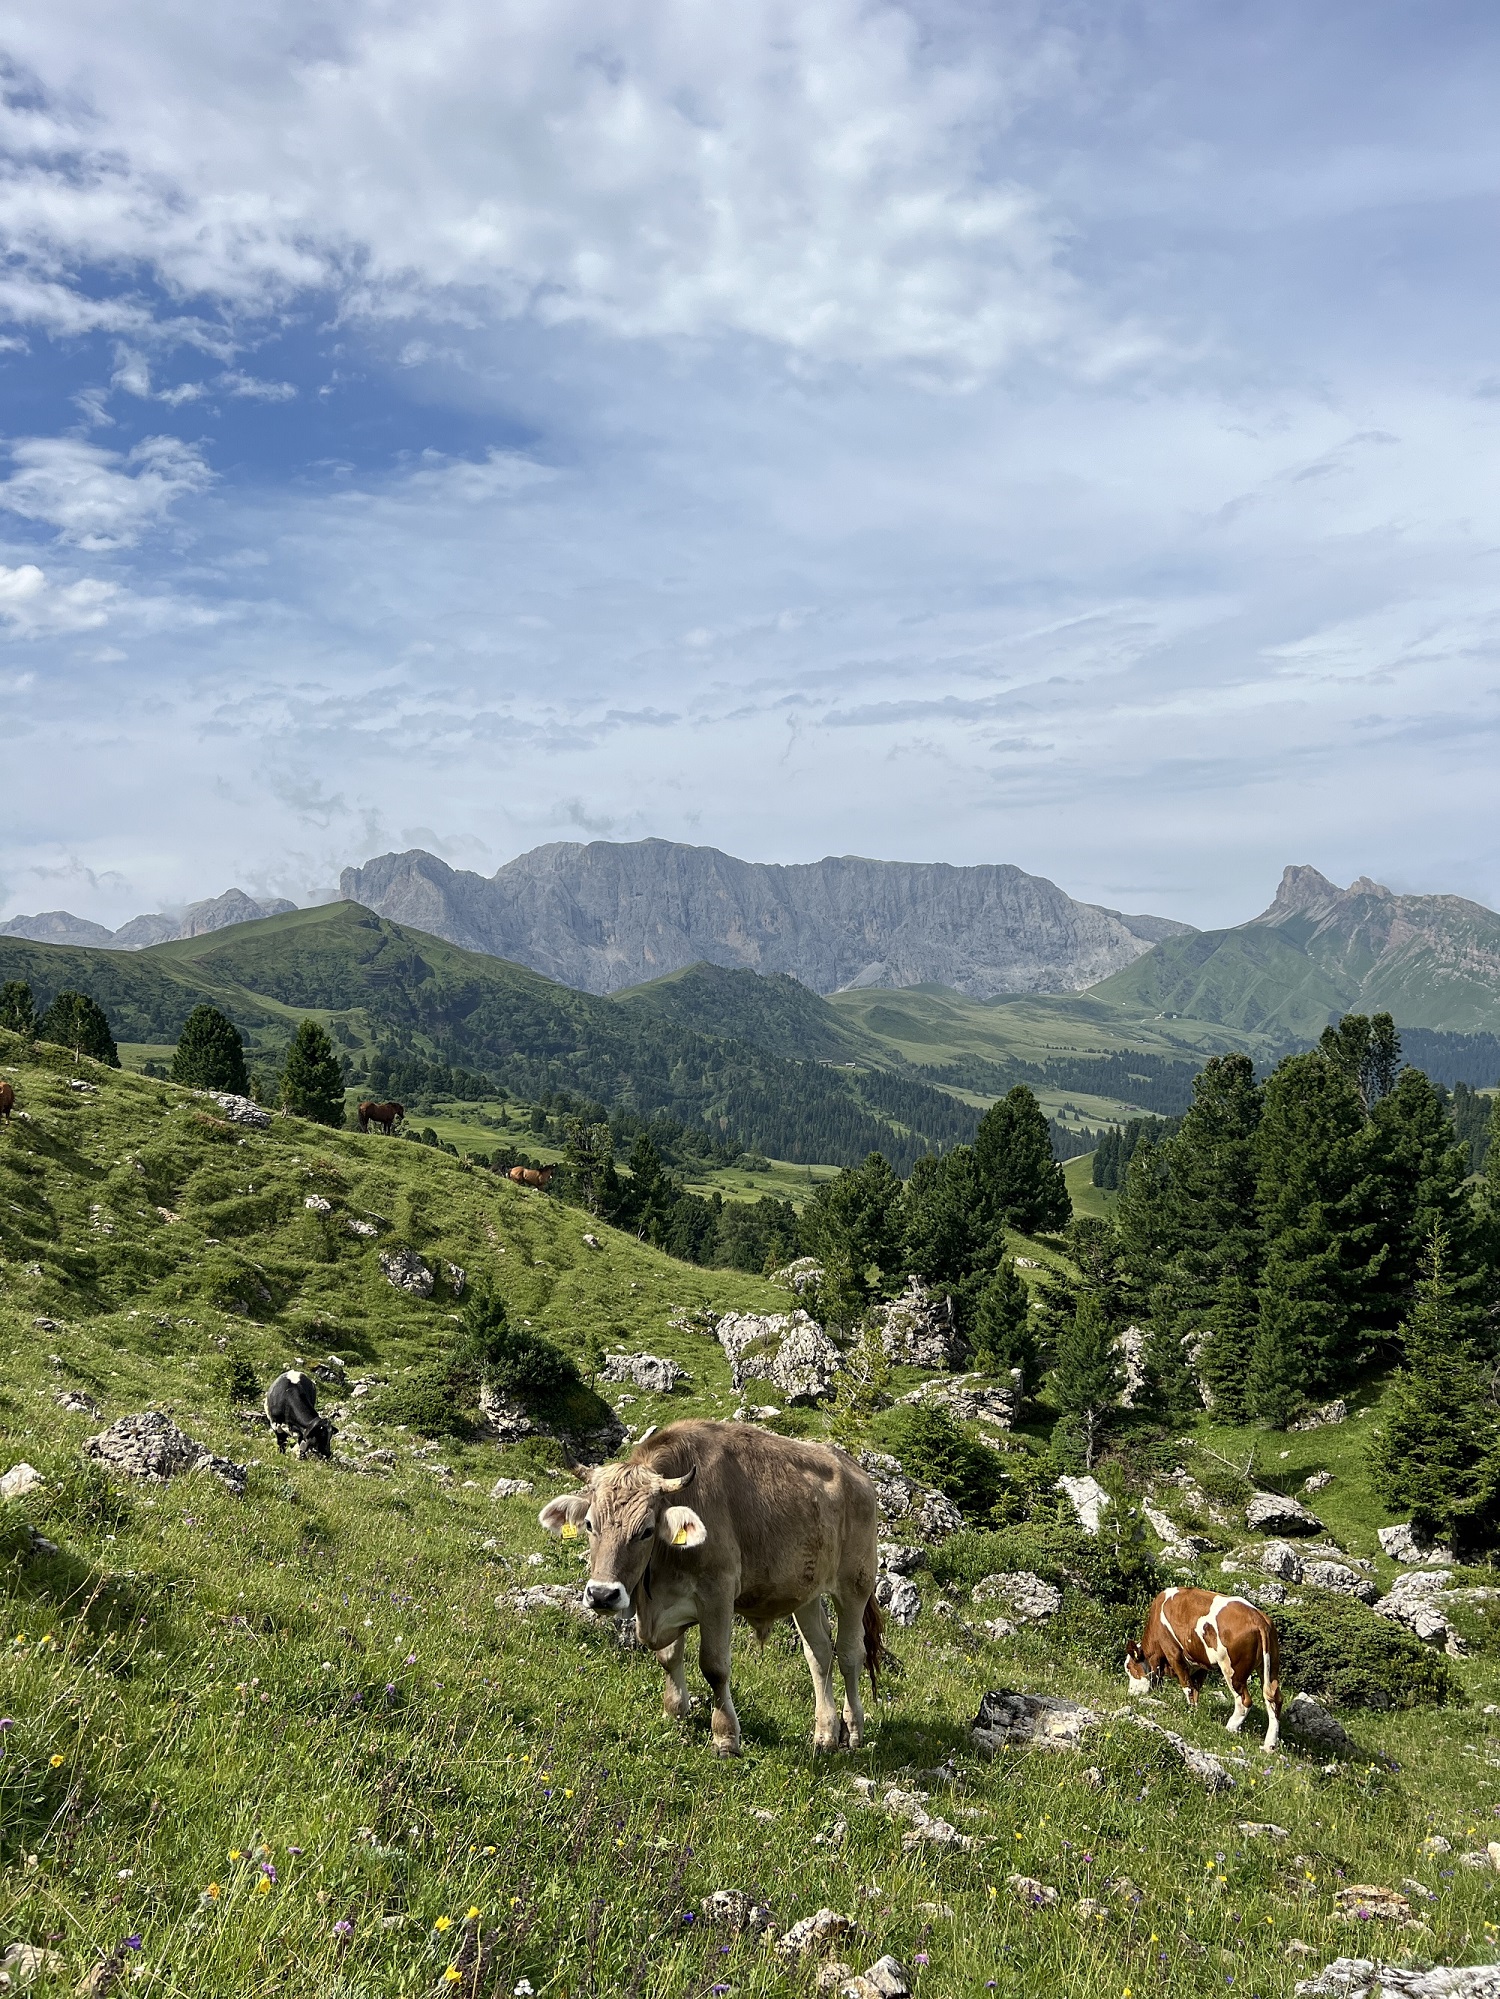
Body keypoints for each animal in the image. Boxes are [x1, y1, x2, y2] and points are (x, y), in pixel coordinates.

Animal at [540, 1415, 880, 1759]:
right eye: (590, 1524)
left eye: (646, 1531)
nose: (602, 1595)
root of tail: (856, 1471)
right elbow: (668, 1657)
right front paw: (674, 1710)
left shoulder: (718, 1593)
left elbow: (715, 1666)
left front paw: (725, 1737)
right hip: (805, 1592)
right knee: (820, 1653)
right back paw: (825, 1734)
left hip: (856, 1584)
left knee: (850, 1654)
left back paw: (853, 1730)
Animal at [1128, 1591, 1280, 1751]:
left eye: (1130, 1668)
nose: (1131, 1693)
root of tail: (1258, 1618)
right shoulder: (1201, 1664)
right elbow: (1195, 1689)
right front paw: (1195, 1711)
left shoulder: (1173, 1653)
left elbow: (1187, 1686)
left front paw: (1190, 1711)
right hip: (1271, 1667)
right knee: (1274, 1699)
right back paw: (1269, 1745)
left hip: (1233, 1670)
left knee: (1244, 1701)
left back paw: (1229, 1729)